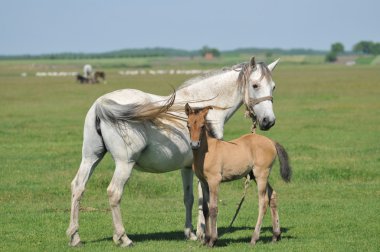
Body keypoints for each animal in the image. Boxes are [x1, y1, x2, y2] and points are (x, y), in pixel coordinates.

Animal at [67, 56, 280, 246]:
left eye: (273, 87)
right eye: (255, 85)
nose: (269, 121)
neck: (203, 107)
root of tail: (101, 104)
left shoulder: (187, 168)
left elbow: (189, 199)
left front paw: (191, 233)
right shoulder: (204, 171)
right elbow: (204, 201)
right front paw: (205, 234)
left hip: (90, 158)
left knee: (78, 187)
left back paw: (75, 236)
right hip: (124, 164)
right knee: (114, 193)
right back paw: (124, 238)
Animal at [186, 103, 292, 247]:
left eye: (202, 126)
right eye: (188, 125)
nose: (194, 144)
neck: (206, 152)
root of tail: (271, 141)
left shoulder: (214, 181)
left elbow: (213, 208)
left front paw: (212, 240)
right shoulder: (203, 182)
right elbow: (206, 209)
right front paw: (206, 239)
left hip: (261, 174)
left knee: (263, 202)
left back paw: (254, 238)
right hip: (255, 176)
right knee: (273, 196)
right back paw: (275, 235)